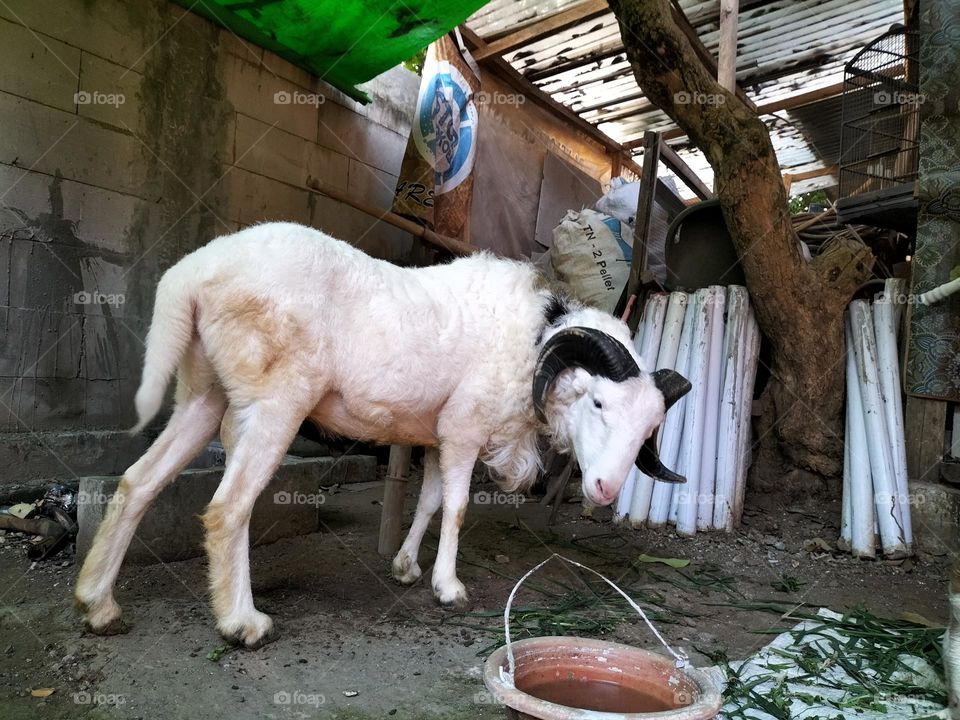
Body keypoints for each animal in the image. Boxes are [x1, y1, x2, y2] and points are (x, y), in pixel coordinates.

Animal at [75, 222, 689, 649]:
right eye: (598, 402)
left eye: (648, 430)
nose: (606, 490)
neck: (533, 342)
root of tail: (191, 277)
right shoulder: (465, 427)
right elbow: (458, 508)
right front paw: (449, 588)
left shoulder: (439, 434)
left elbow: (430, 501)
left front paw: (407, 567)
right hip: (277, 401)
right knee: (229, 508)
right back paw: (242, 623)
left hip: (203, 392)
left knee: (136, 484)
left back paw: (98, 604)